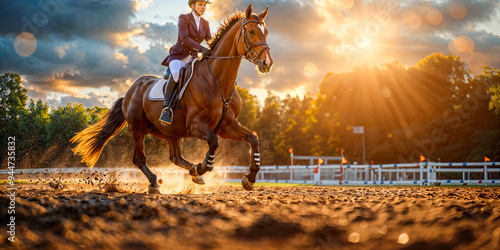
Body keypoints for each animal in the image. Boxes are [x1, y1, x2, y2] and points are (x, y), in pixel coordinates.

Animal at [70, 4, 274, 194]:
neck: (217, 80)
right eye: (251, 31)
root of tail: (131, 89)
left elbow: (253, 139)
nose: (267, 63)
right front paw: (202, 167)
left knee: (175, 157)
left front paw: (250, 178)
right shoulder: (195, 124)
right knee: (139, 159)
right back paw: (155, 183)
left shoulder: (227, 125)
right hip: (137, 129)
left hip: (171, 132)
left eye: (266, 32)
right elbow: (213, 142)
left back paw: (193, 174)